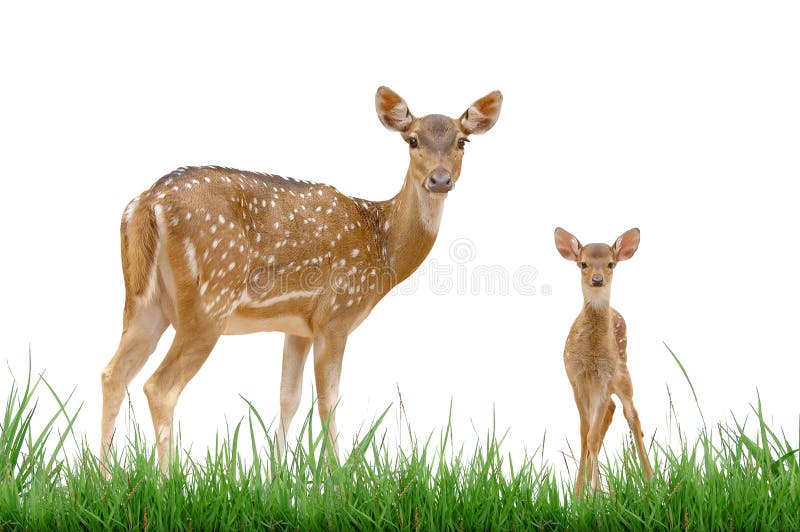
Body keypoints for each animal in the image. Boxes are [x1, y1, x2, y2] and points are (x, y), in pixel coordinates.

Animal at [100, 86, 502, 473]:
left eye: (462, 141)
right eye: (412, 140)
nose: (440, 179)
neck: (381, 243)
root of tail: (147, 202)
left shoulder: (298, 326)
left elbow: (288, 398)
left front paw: (275, 478)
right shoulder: (336, 314)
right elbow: (328, 401)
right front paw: (337, 480)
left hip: (143, 302)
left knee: (112, 374)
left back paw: (103, 479)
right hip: (208, 301)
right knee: (159, 387)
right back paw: (166, 482)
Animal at [554, 227, 653, 496]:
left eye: (611, 264)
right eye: (583, 264)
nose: (597, 279)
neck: (590, 354)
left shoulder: (604, 378)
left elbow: (592, 435)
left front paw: (597, 495)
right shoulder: (575, 378)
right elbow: (584, 434)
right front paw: (579, 494)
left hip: (623, 371)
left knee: (631, 414)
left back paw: (651, 480)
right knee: (610, 412)